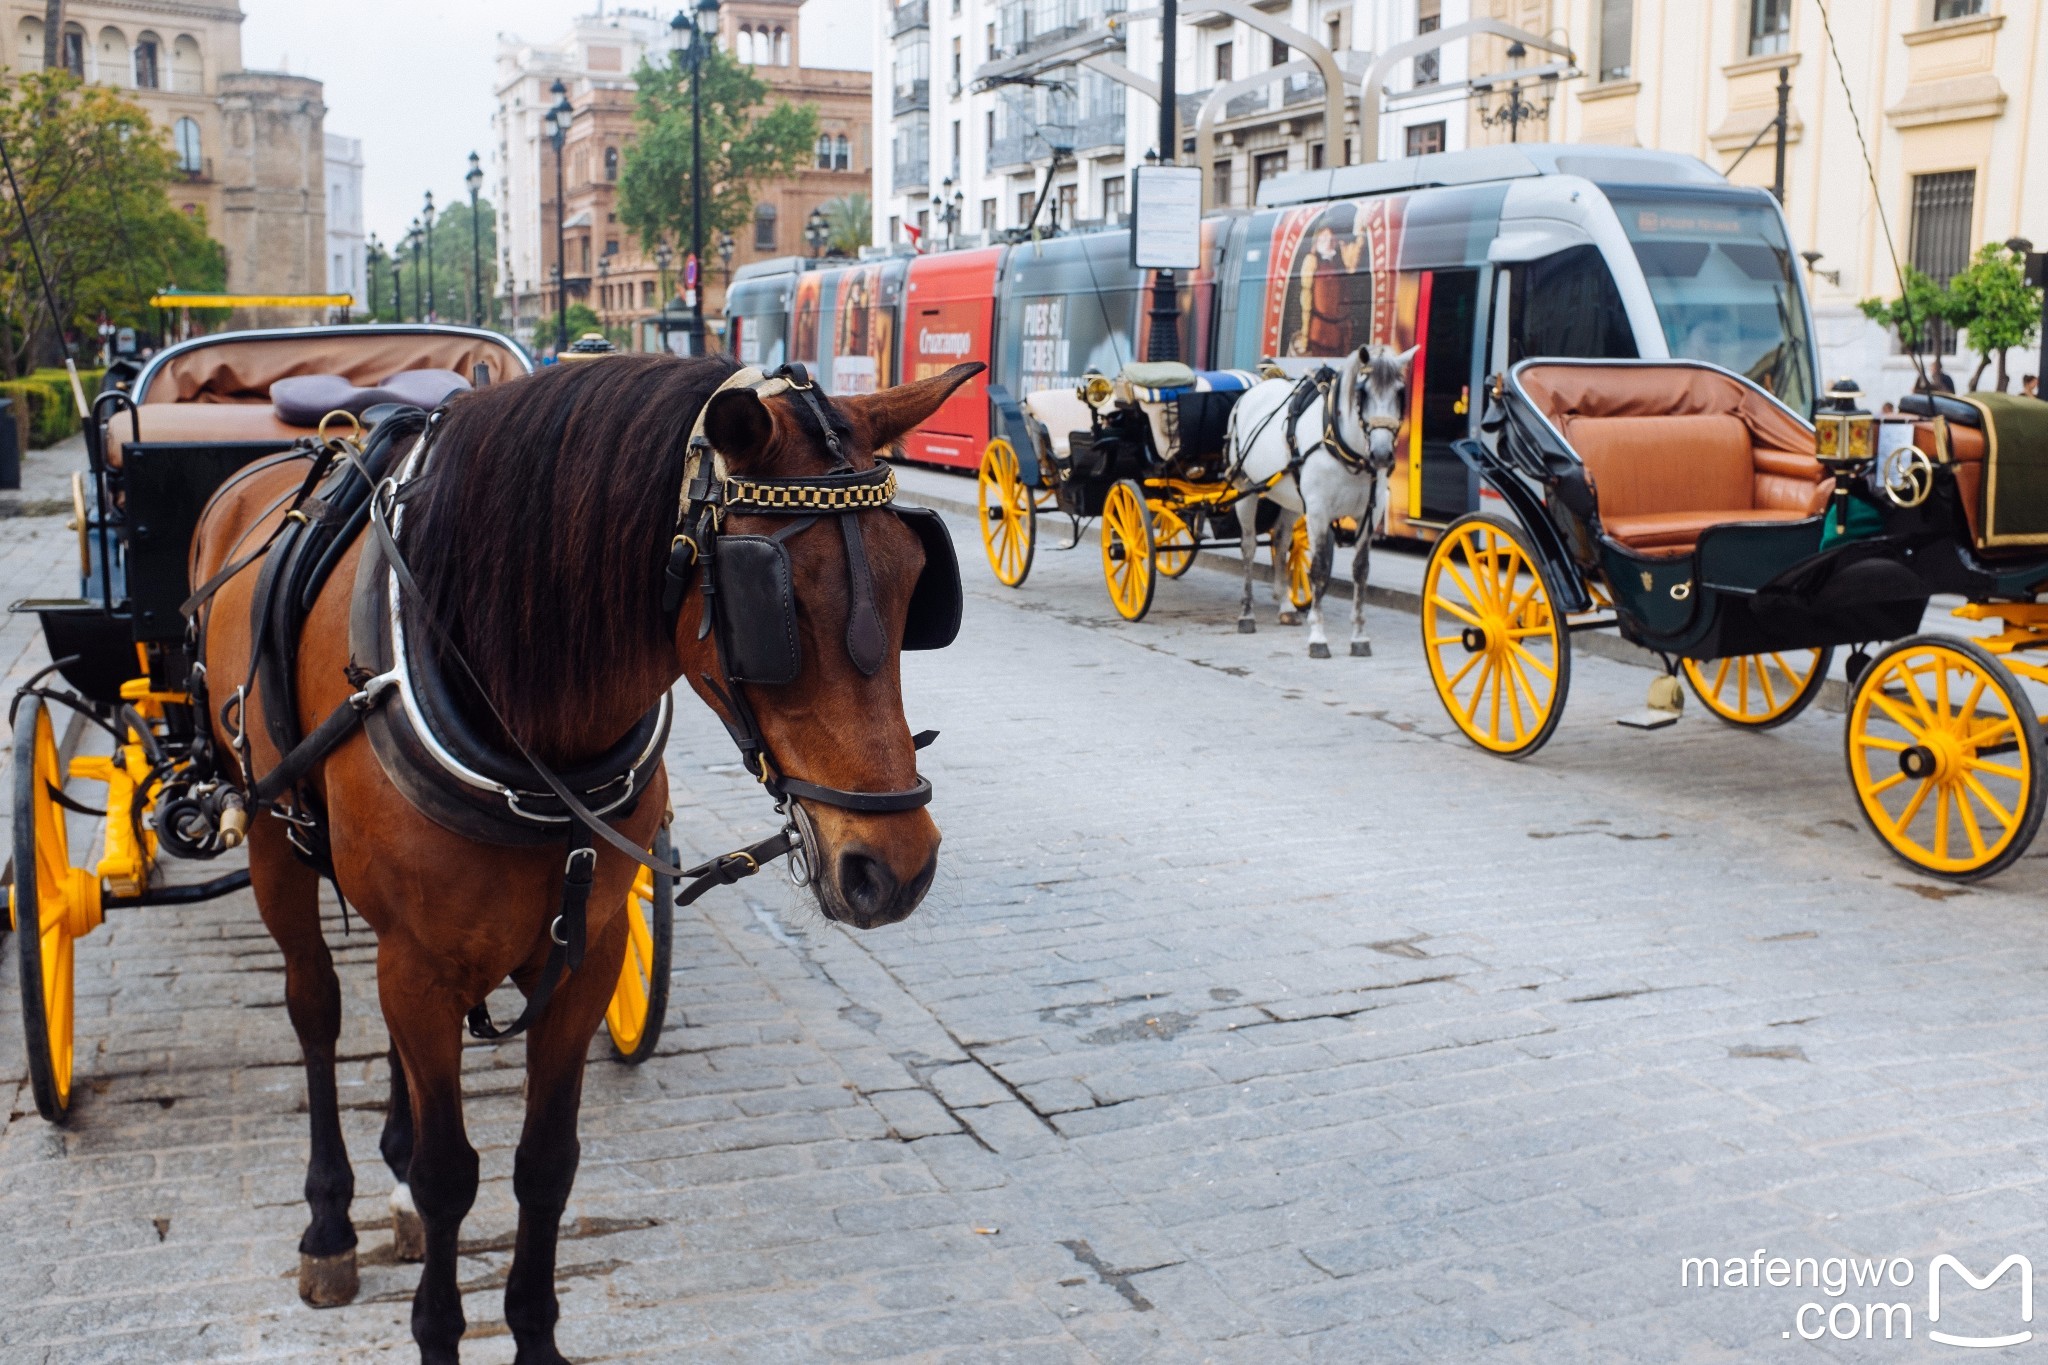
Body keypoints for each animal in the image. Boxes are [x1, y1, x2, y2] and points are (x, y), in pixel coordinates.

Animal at [188, 358, 978, 1358]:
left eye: (919, 584)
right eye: (777, 602)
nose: (896, 865)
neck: (526, 725)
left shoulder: (584, 958)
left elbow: (545, 1162)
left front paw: (531, 1328)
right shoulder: (421, 964)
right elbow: (454, 1175)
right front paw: (436, 1318)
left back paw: (391, 1183)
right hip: (272, 838)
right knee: (317, 1011)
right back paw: (331, 1221)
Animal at [1220, 347, 1417, 654]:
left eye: (1400, 392)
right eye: (1362, 393)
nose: (1382, 455)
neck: (1344, 447)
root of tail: (1257, 386)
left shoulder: (1369, 515)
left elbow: (1361, 570)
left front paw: (1359, 636)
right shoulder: (1318, 511)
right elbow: (1319, 571)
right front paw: (1318, 637)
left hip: (1291, 497)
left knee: (1281, 541)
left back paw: (1286, 606)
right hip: (1246, 489)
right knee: (1249, 547)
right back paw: (1247, 614)